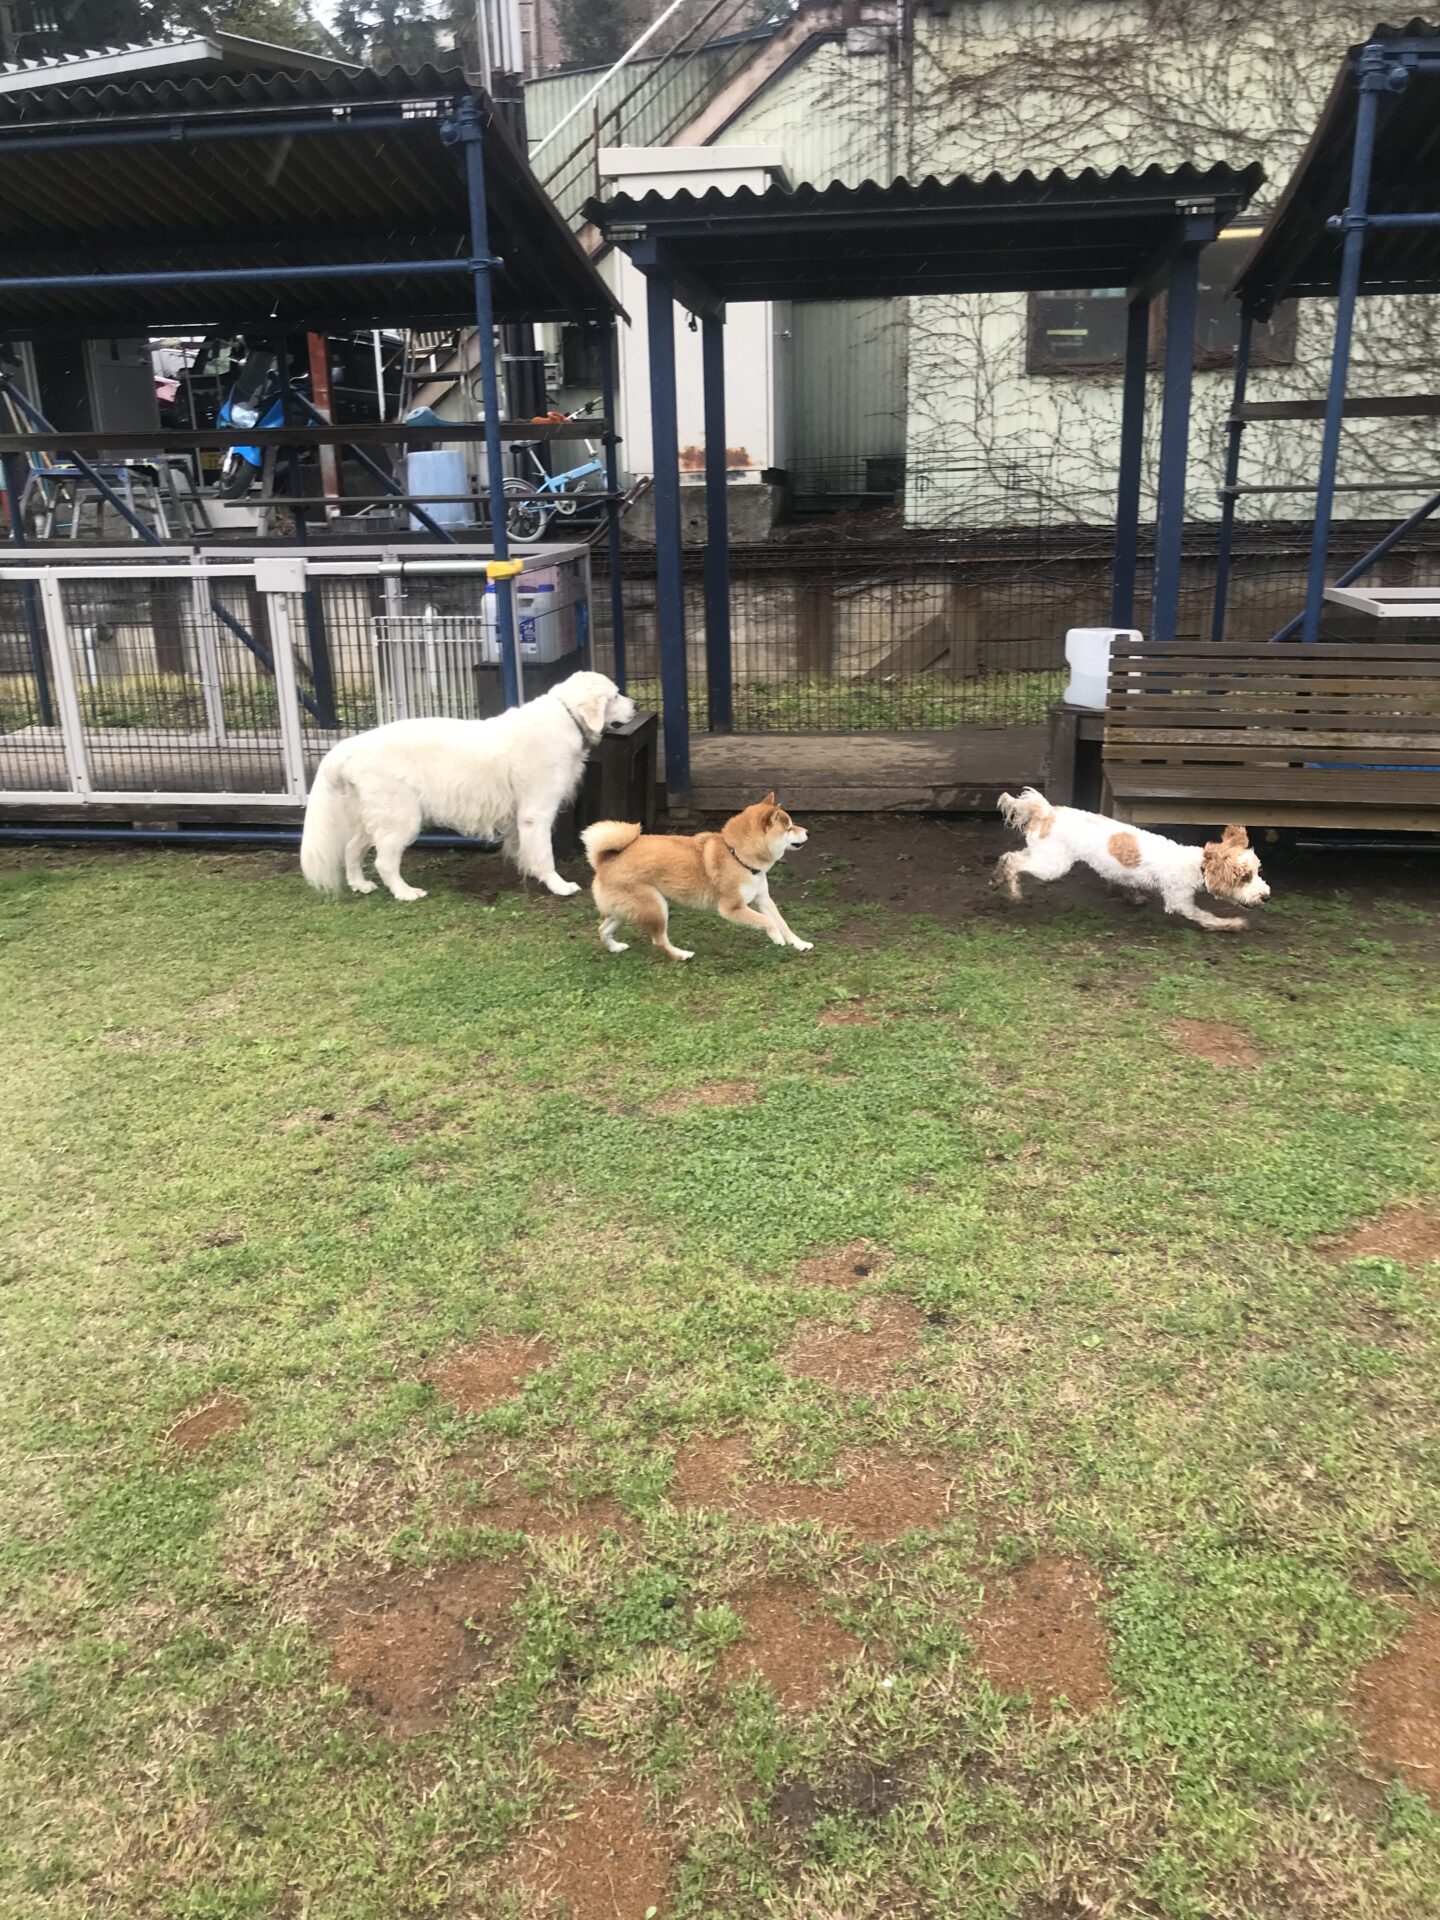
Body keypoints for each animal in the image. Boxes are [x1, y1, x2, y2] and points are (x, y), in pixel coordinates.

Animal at [300, 670, 635, 902]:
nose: (636, 703)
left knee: (351, 850)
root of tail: (351, 744)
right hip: (401, 819)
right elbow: (544, 855)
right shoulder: (536, 813)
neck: (566, 716)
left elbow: (524, 851)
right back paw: (406, 893)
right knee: (384, 862)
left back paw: (360, 885)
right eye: (616, 695)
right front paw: (559, 886)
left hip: (373, 819)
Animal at [582, 794, 812, 962]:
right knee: (659, 941)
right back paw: (681, 955)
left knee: (602, 929)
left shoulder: (763, 899)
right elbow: (767, 921)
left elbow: (782, 922)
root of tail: (604, 860)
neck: (736, 855)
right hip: (656, 906)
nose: (808, 831)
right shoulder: (732, 908)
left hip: (624, 909)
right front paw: (776, 937)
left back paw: (615, 947)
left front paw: (799, 943)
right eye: (789, 828)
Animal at [994, 789, 1270, 931]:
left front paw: (1134, 897)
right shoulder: (1179, 900)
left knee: (1009, 856)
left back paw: (997, 878)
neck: (1197, 865)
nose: (1266, 896)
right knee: (1014, 862)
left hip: (1044, 854)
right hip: (1053, 865)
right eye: (1244, 877)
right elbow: (1205, 916)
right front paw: (1232, 923)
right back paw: (1013, 892)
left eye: (1258, 871)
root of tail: (1046, 811)